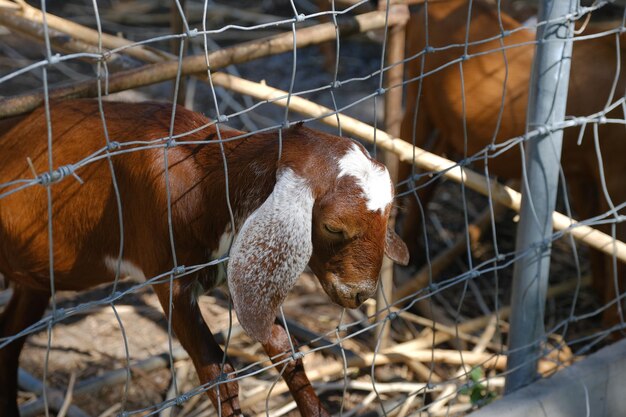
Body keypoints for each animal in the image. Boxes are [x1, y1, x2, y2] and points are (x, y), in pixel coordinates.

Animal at [0, 100, 410, 416]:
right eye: (333, 227)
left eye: (387, 215)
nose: (360, 293)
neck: (209, 178)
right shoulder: (168, 276)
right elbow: (218, 374)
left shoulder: (236, 267)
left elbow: (284, 350)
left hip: (34, 282)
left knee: (10, 339)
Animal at [400, 0, 624, 324]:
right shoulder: (613, 176)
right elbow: (615, 254)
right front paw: (613, 325)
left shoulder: (584, 170)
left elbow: (599, 238)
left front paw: (599, 298)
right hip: (418, 99)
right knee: (402, 159)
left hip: (450, 126)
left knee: (430, 175)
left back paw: (415, 252)